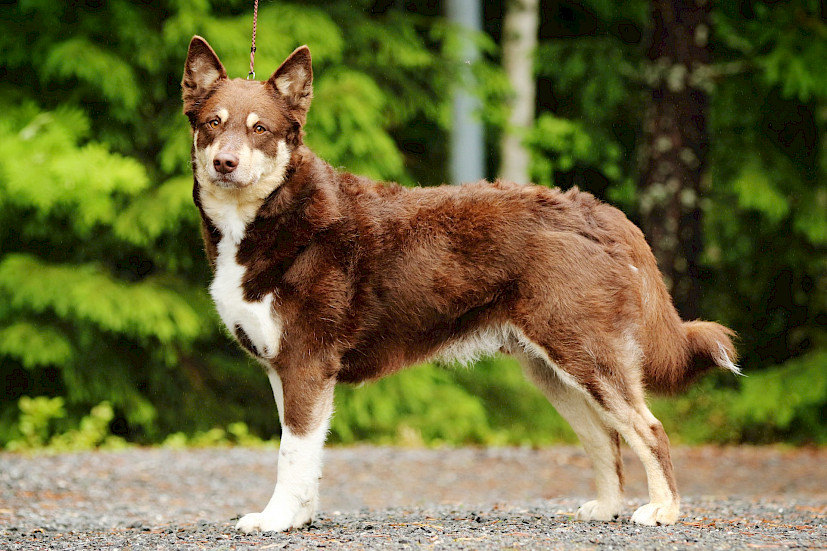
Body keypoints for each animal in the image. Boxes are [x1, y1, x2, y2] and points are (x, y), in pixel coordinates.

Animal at [181, 36, 739, 533]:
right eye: (213, 123)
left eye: (260, 129)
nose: (224, 163)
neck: (274, 217)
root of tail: (596, 211)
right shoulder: (285, 369)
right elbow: (305, 455)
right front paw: (298, 517)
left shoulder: (307, 362)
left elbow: (290, 455)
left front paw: (275, 519)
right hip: (552, 369)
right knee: (606, 438)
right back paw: (605, 509)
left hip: (586, 353)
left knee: (649, 429)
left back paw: (662, 511)